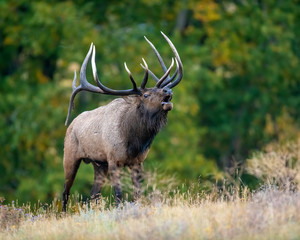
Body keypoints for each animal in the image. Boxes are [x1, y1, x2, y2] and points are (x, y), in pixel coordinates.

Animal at [63, 31, 183, 212]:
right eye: (146, 95)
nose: (168, 91)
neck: (134, 141)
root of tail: (71, 125)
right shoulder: (114, 160)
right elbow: (119, 194)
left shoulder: (137, 162)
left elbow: (137, 194)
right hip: (70, 156)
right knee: (66, 192)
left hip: (99, 163)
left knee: (94, 193)